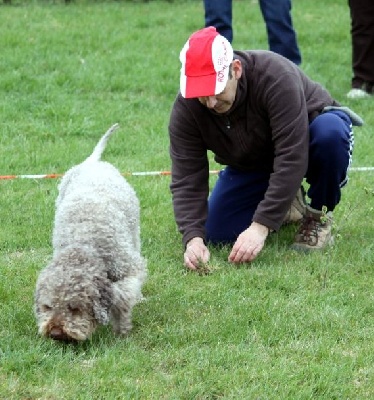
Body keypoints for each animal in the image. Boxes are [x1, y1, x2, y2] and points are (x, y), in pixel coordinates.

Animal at [34, 123, 147, 342]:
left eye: (75, 308)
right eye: (47, 306)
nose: (55, 333)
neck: (85, 243)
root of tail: (92, 162)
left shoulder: (130, 268)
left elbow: (122, 297)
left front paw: (121, 329)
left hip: (134, 232)